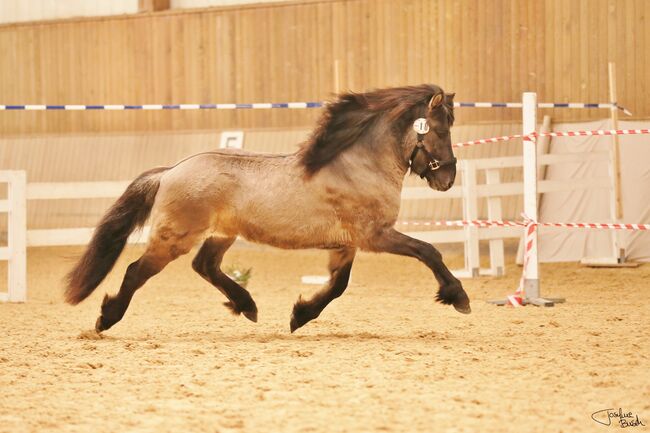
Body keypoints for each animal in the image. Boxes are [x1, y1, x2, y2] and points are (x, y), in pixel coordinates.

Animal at [66, 84, 468, 332]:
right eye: (440, 129)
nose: (447, 177)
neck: (358, 166)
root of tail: (171, 171)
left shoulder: (348, 244)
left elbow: (338, 285)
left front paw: (300, 315)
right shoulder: (375, 235)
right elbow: (428, 251)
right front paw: (458, 297)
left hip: (221, 234)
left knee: (204, 265)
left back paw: (247, 306)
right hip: (174, 237)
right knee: (137, 271)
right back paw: (106, 318)